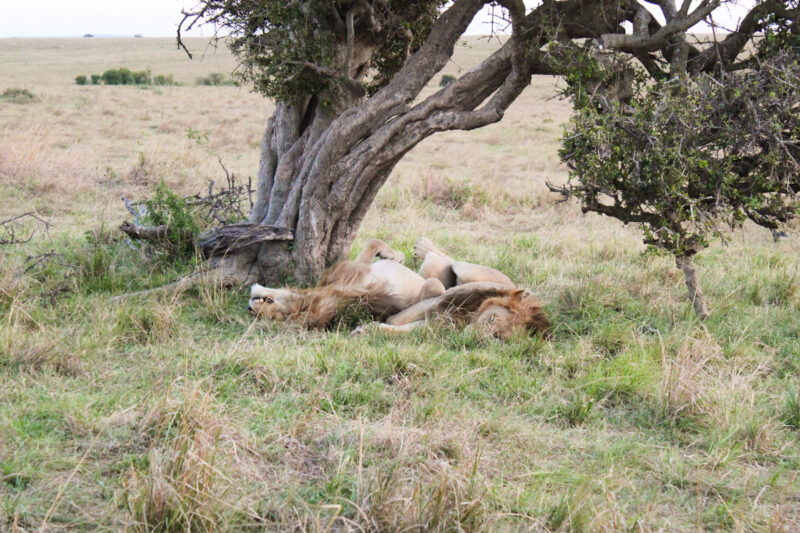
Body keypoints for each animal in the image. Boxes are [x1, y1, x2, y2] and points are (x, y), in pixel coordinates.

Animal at [250, 238, 552, 338]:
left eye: (498, 336)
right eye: (492, 322)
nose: (251, 308)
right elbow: (373, 243)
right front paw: (395, 255)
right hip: (465, 271)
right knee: (445, 262)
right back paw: (423, 248)